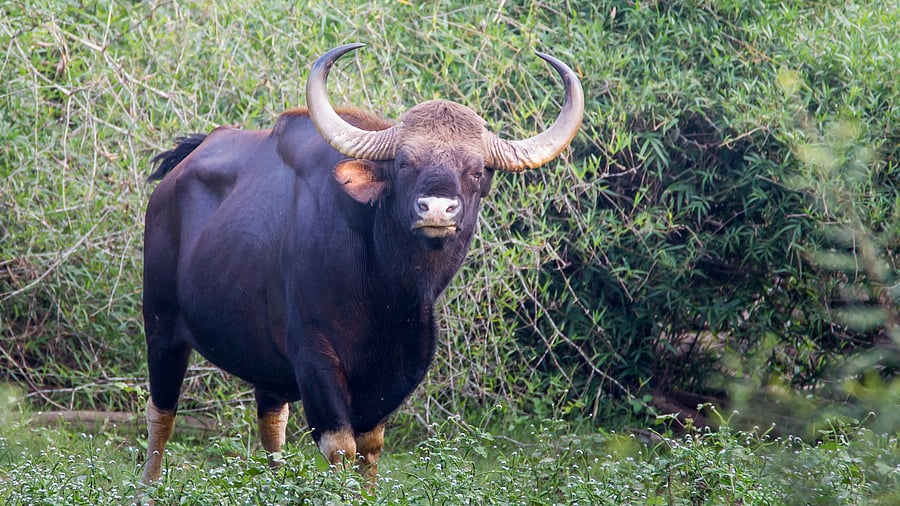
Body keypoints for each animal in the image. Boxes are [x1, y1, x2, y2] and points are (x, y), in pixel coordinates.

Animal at [140, 43, 583, 483]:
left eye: (475, 171)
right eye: (404, 164)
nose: (437, 209)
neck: (385, 289)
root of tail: (174, 177)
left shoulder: (390, 376)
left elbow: (369, 450)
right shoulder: (315, 359)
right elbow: (341, 448)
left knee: (271, 422)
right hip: (161, 326)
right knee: (162, 413)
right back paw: (148, 487)